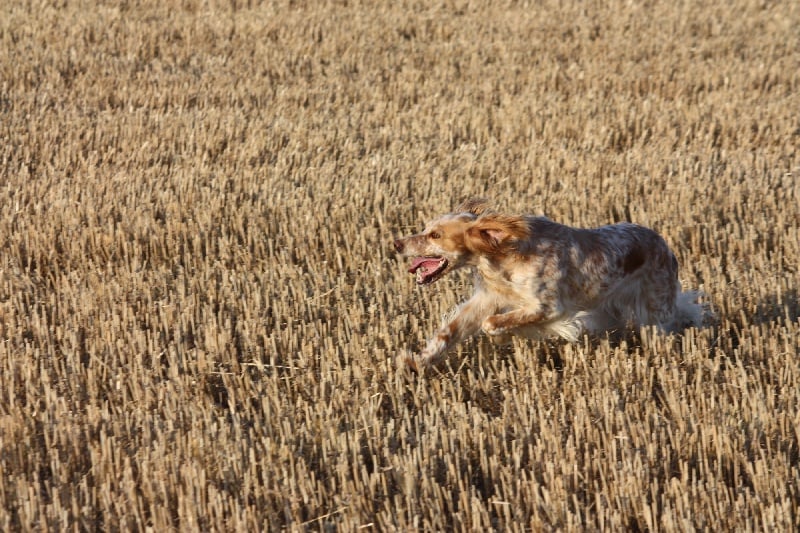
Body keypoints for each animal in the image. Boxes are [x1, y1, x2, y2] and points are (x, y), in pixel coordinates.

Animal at [393, 199, 705, 371]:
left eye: (435, 235)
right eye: (425, 229)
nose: (397, 244)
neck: (503, 255)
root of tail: (664, 246)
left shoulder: (549, 307)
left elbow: (493, 323)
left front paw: (504, 336)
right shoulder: (487, 299)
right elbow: (450, 331)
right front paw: (417, 362)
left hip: (655, 315)